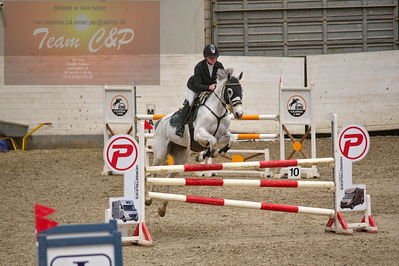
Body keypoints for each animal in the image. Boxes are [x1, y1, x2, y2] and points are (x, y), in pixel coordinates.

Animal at [147, 68, 244, 216]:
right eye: (229, 91)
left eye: (241, 90)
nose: (239, 114)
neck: (217, 111)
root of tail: (161, 121)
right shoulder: (199, 134)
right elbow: (211, 140)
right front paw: (202, 156)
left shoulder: (222, 135)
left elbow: (232, 138)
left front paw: (218, 152)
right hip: (160, 154)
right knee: (154, 172)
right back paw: (148, 199)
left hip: (180, 157)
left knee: (169, 176)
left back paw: (162, 208)